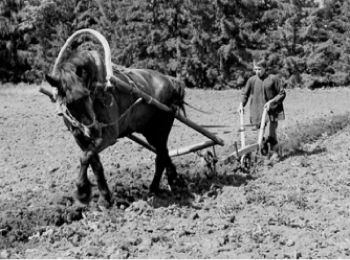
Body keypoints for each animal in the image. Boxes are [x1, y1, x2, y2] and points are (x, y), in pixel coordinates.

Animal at [45, 48, 187, 207]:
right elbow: (94, 162)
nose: (93, 130)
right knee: (165, 153)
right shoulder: (79, 136)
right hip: (149, 131)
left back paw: (153, 189)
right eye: (69, 102)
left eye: (86, 94)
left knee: (161, 156)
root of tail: (170, 80)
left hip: (161, 128)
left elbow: (85, 157)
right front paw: (104, 197)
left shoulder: (109, 135)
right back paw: (173, 179)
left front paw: (82, 191)